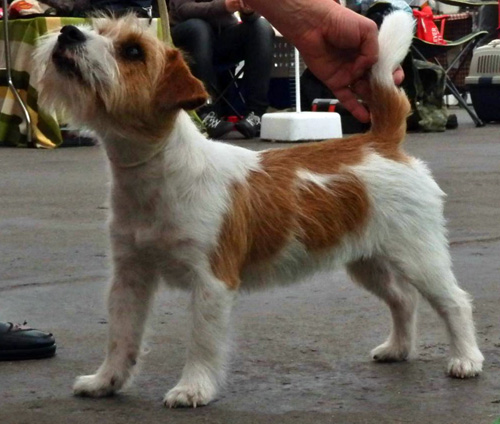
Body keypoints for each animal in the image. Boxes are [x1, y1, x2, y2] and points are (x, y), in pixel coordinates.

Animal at [36, 10, 484, 408]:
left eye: (132, 50)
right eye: (98, 29)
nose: (69, 33)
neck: (158, 171)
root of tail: (380, 141)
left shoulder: (212, 282)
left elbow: (202, 341)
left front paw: (193, 389)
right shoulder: (130, 276)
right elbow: (121, 335)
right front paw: (105, 381)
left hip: (418, 256)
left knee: (454, 301)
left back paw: (465, 359)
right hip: (366, 261)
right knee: (402, 300)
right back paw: (397, 348)